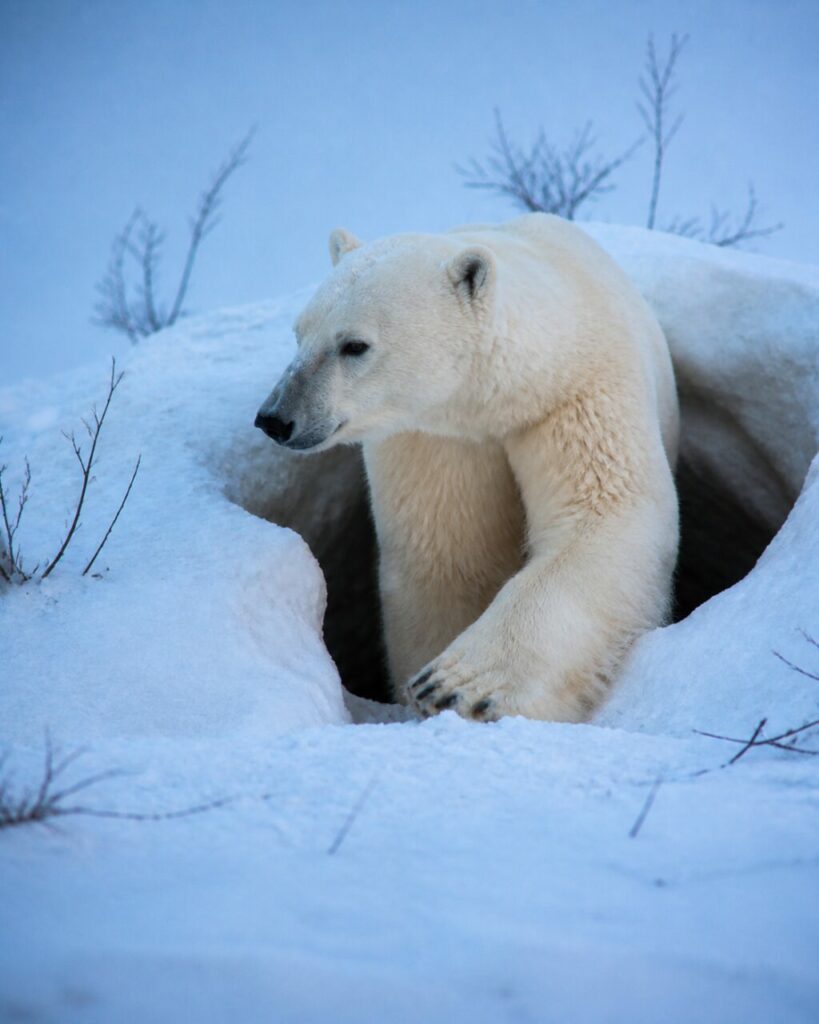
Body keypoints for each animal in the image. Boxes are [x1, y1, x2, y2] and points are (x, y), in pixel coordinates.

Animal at [255, 213, 680, 722]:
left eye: (354, 345)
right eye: (299, 333)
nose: (276, 417)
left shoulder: (576, 395)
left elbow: (605, 516)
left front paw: (456, 687)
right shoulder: (437, 440)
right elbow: (450, 560)